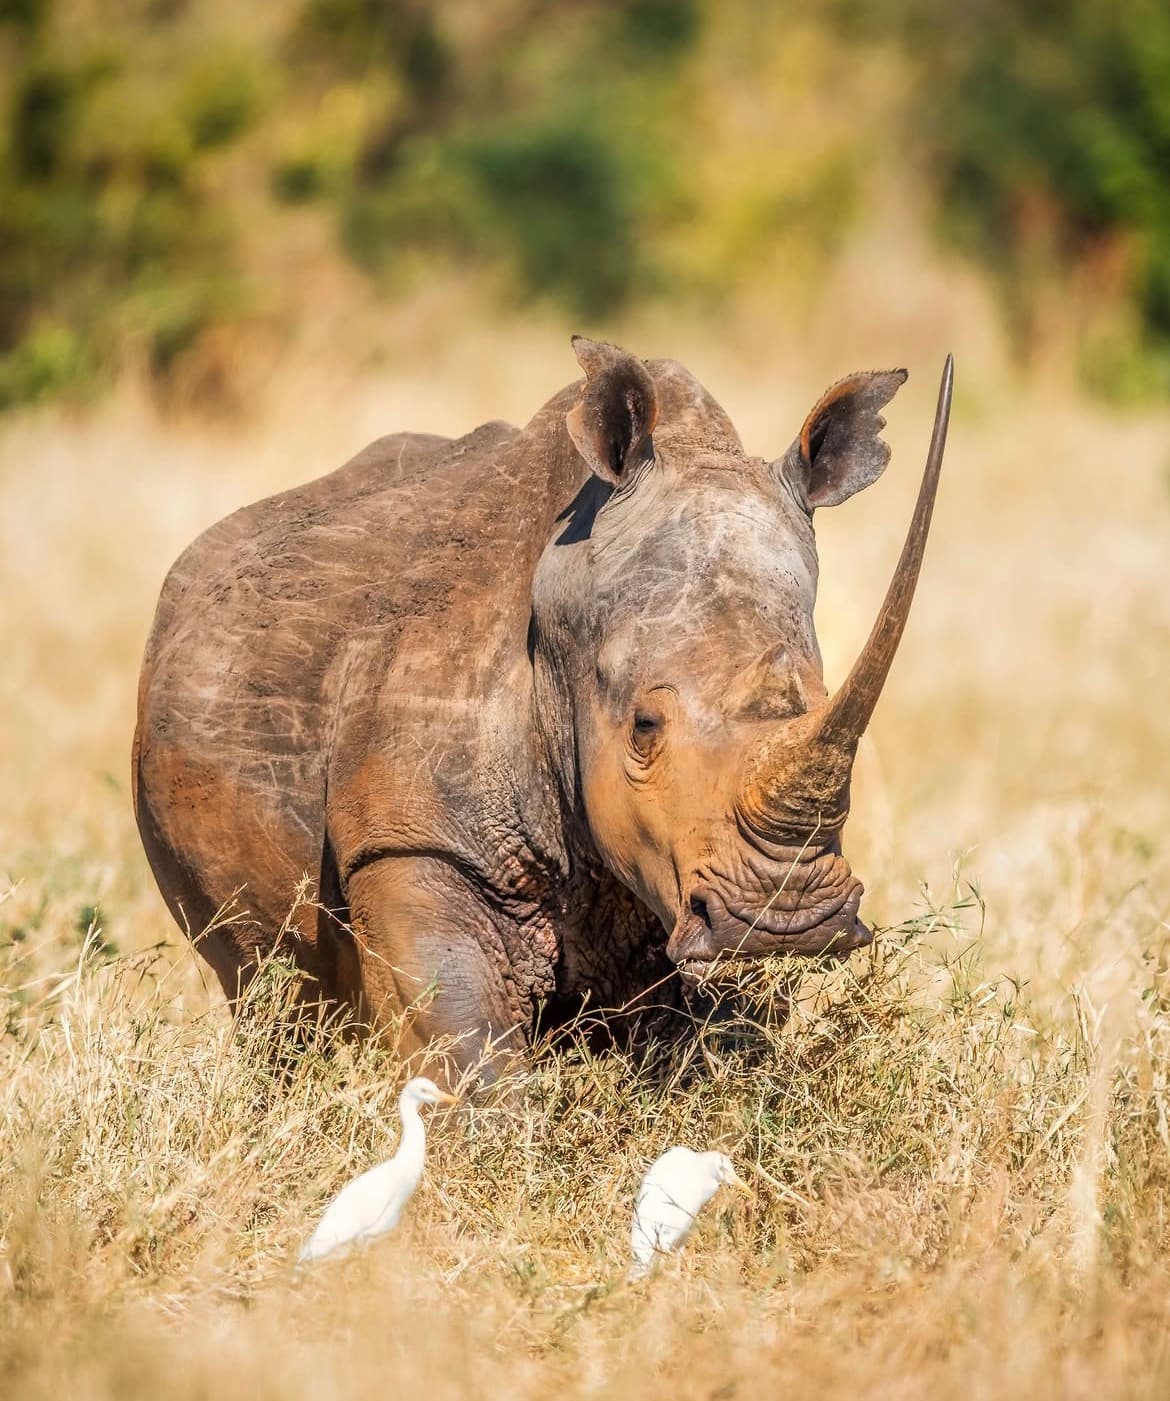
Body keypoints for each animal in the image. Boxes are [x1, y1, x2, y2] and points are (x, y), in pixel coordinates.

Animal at [133, 337, 952, 1070]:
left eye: (821, 704)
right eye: (643, 729)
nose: (786, 924)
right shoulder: (409, 838)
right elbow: (463, 1046)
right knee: (263, 985)